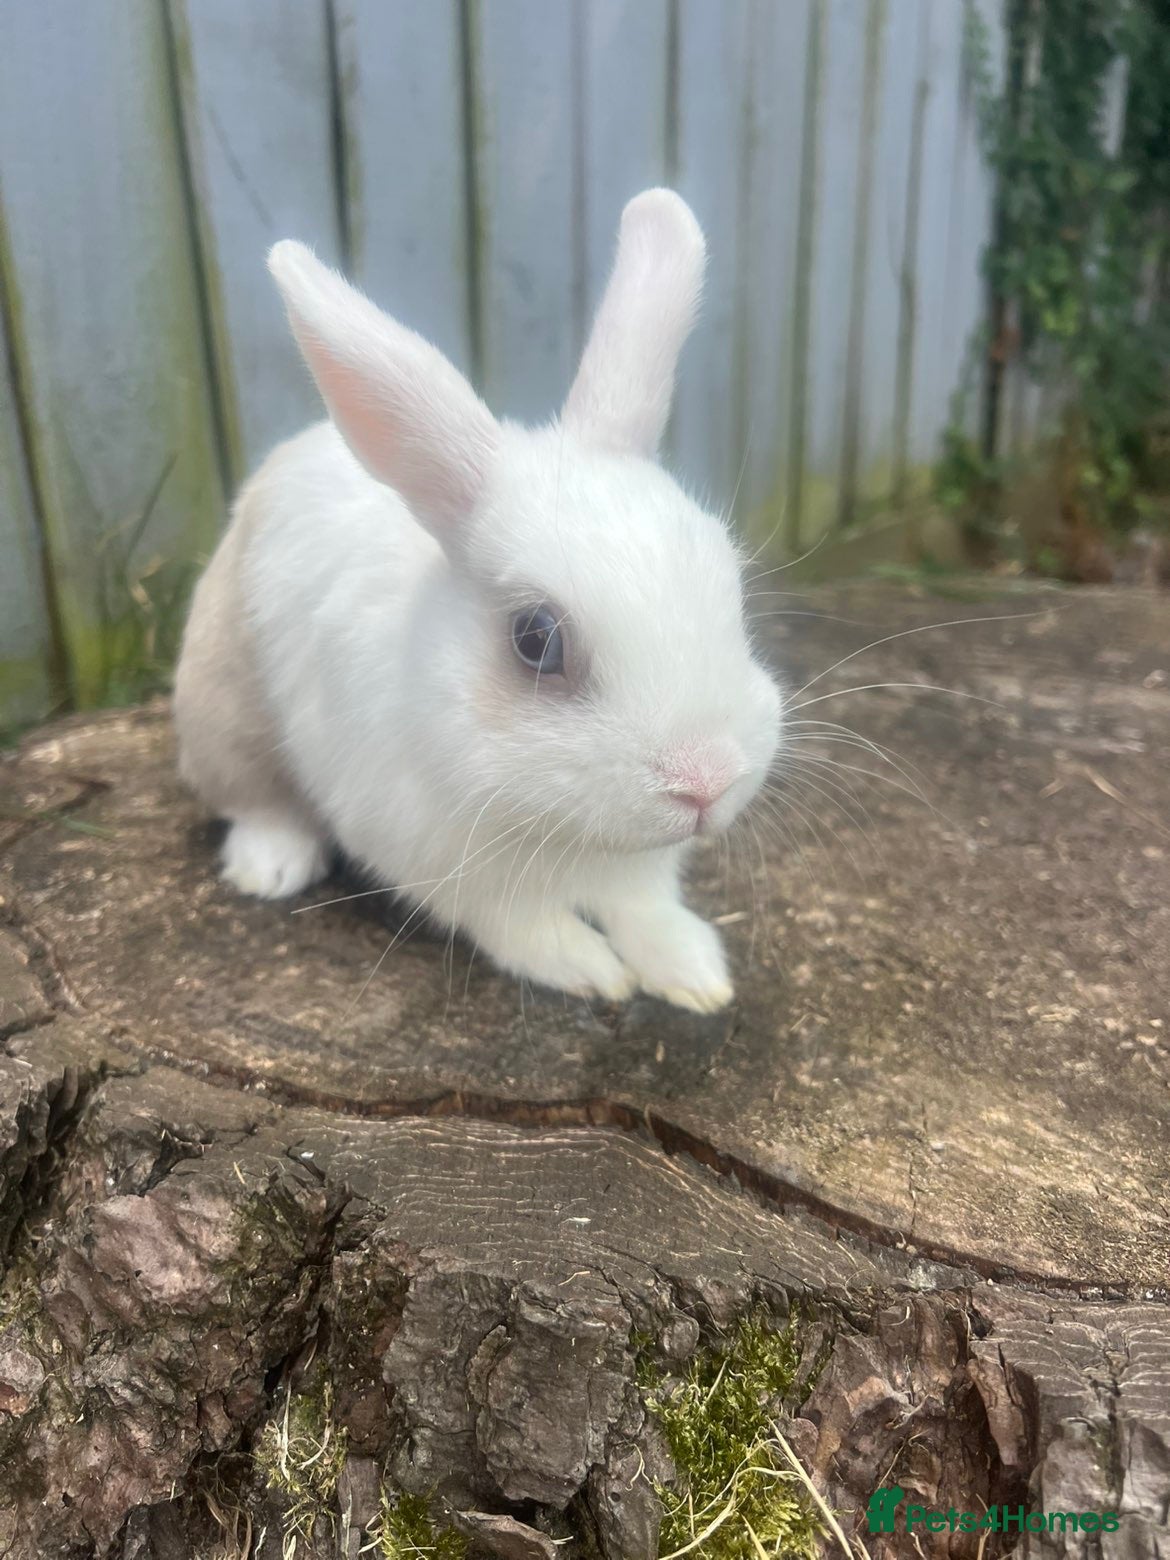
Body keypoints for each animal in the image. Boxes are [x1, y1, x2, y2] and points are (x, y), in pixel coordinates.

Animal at [173, 189, 782, 1012]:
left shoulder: (638, 870)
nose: (706, 782)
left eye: (731, 588)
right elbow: (521, 927)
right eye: (536, 639)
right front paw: (591, 971)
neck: (562, 830)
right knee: (251, 799)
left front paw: (694, 974)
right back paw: (270, 868)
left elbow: (647, 909)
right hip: (223, 704)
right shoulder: (441, 857)